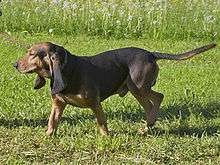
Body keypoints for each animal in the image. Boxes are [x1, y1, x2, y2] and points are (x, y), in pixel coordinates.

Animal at [14, 42, 217, 135]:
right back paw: (148, 126)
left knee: (157, 99)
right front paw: (47, 136)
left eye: (32, 54)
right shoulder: (58, 104)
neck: (67, 69)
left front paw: (106, 138)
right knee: (154, 101)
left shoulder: (95, 103)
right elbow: (52, 121)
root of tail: (150, 54)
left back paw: (148, 125)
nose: (14, 65)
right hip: (136, 88)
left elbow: (101, 122)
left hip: (138, 86)